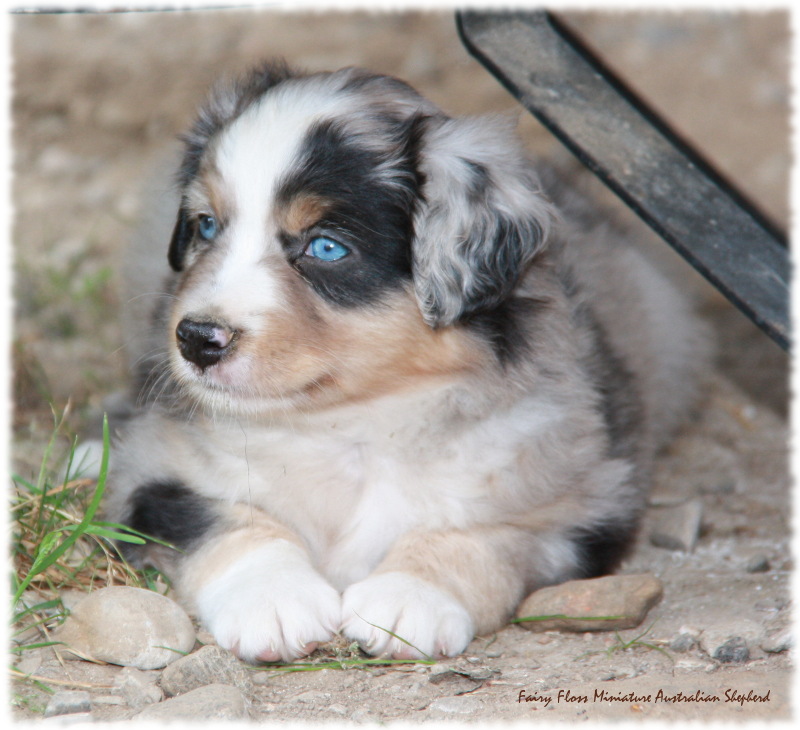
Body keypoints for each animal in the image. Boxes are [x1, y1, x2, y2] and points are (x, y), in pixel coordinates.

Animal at [104, 59, 708, 664]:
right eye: (206, 225)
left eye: (327, 248)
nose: (196, 339)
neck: (353, 427)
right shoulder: (160, 464)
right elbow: (223, 517)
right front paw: (274, 600)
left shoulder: (581, 501)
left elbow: (487, 534)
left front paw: (408, 596)